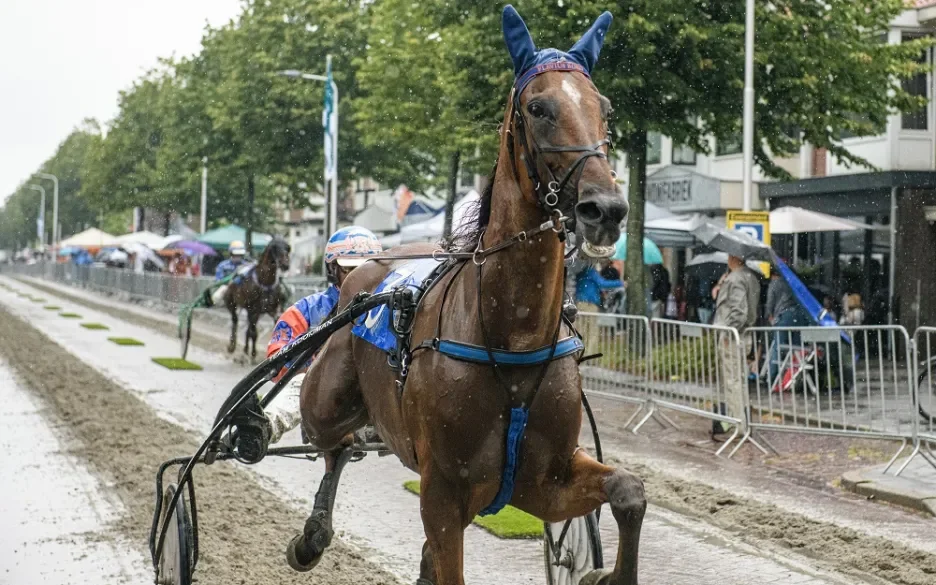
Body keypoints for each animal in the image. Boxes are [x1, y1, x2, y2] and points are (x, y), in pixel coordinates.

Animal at [288, 9, 648, 584]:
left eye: (606, 109)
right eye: (538, 107)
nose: (607, 208)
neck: (511, 336)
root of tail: (364, 270)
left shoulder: (543, 481)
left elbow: (628, 489)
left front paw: (605, 571)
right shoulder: (442, 492)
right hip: (326, 401)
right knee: (331, 442)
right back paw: (311, 534)